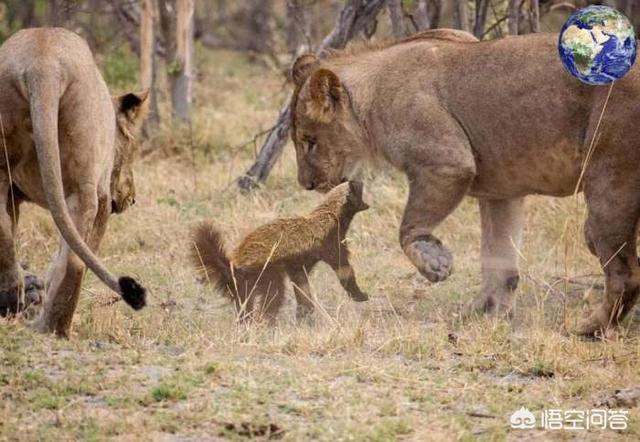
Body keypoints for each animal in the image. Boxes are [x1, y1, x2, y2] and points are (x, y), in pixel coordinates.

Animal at [0, 27, 148, 336]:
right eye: (132, 148)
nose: (132, 198)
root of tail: (43, 62)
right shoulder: (103, 197)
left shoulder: (13, 193)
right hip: (84, 185)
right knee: (74, 260)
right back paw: (53, 327)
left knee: (3, 231)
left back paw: (13, 303)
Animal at [191, 180, 370, 322]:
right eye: (357, 187)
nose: (360, 179)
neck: (330, 215)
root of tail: (233, 265)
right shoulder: (331, 243)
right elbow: (344, 270)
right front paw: (361, 296)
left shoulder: (298, 265)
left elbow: (301, 286)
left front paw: (304, 313)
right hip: (266, 272)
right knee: (273, 295)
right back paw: (266, 322)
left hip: (244, 286)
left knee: (244, 305)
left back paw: (246, 324)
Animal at [292, 29, 640, 336]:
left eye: (309, 141)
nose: (306, 184)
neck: (371, 98)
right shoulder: (501, 191)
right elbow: (499, 261)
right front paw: (483, 314)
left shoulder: (447, 162)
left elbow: (408, 229)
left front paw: (435, 263)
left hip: (611, 181)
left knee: (625, 273)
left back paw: (588, 328)